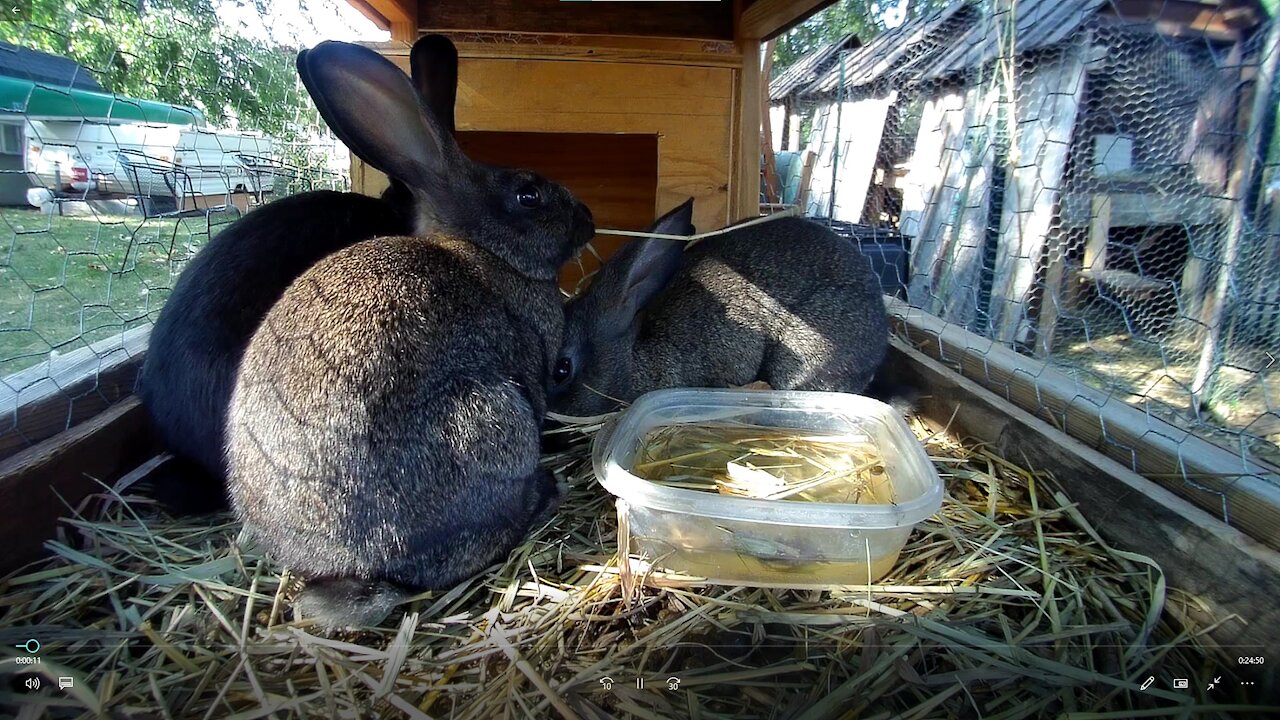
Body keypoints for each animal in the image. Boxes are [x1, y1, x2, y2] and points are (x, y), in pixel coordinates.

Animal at [225, 39, 593, 625]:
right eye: (528, 196)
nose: (590, 220)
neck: (486, 250)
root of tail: (359, 565)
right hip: (492, 419)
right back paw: (542, 494)